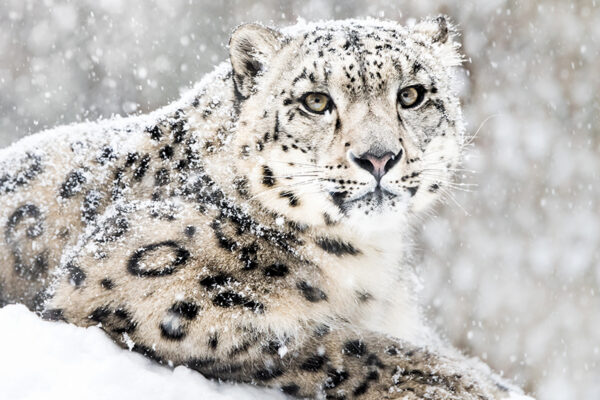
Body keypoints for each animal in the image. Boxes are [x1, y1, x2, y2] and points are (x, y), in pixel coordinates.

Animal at [0, 17, 536, 398]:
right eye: (316, 101)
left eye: (411, 94)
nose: (378, 156)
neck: (368, 261)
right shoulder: (138, 282)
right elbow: (336, 343)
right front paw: (471, 385)